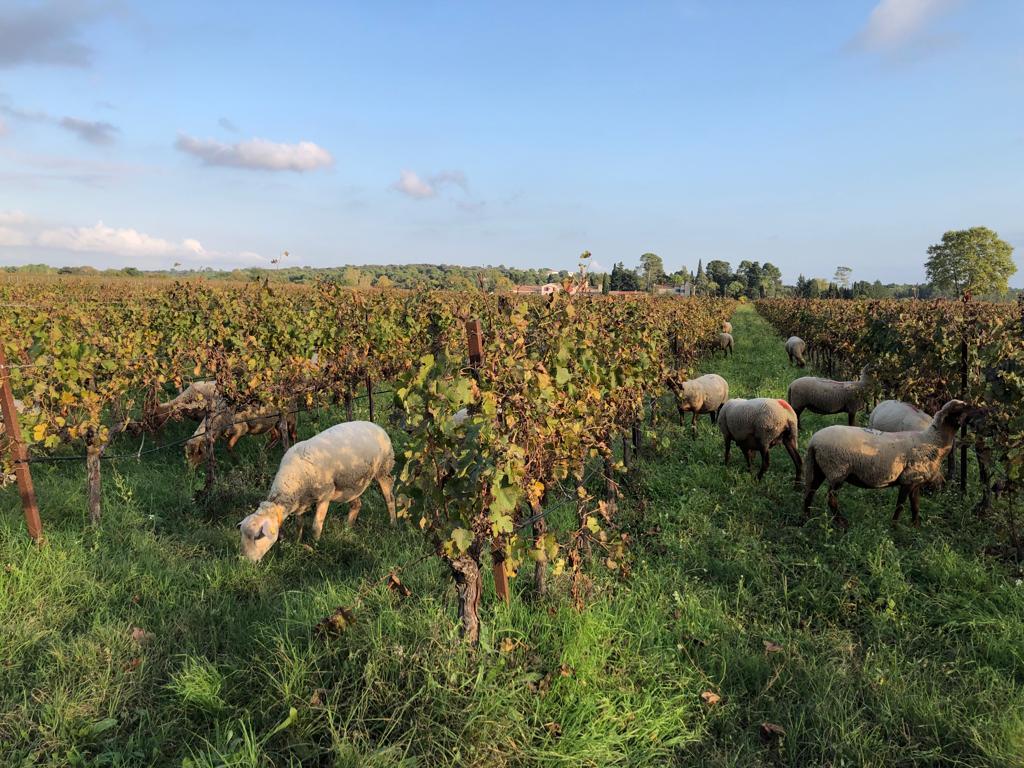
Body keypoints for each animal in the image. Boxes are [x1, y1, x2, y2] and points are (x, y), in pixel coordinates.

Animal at [238, 421, 397, 562]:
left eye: (258, 536)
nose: (247, 563)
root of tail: (376, 425)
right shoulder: (301, 502)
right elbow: (299, 525)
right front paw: (297, 542)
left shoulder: (325, 496)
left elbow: (316, 527)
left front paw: (315, 547)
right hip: (351, 483)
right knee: (356, 504)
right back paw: (347, 529)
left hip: (383, 468)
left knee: (389, 497)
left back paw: (393, 523)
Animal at [802, 399, 972, 529]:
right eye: (959, 409)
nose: (975, 411)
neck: (932, 442)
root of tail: (813, 442)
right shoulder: (907, 480)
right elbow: (900, 505)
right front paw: (894, 526)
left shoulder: (915, 481)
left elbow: (915, 506)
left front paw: (916, 527)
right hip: (837, 470)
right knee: (830, 498)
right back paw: (842, 522)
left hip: (821, 468)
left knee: (811, 490)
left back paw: (806, 517)